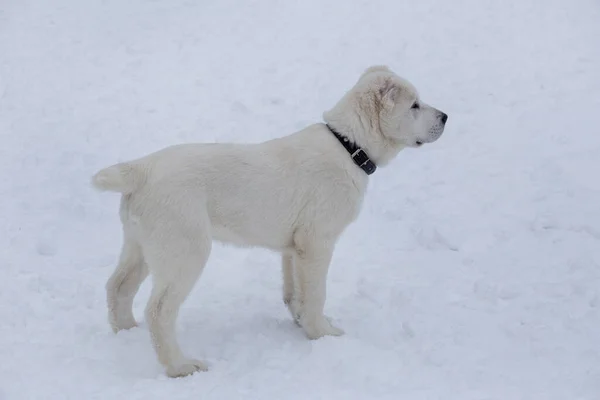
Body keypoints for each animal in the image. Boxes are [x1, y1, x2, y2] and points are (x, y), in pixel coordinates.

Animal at [91, 66, 448, 378]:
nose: (445, 116)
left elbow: (294, 291)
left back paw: (126, 332)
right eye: (414, 105)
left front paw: (301, 322)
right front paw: (323, 333)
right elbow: (316, 293)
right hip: (183, 249)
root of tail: (141, 170)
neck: (349, 146)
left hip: (140, 243)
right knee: (159, 310)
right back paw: (180, 366)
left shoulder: (293, 248)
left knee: (118, 286)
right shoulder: (317, 242)